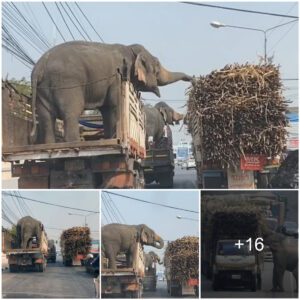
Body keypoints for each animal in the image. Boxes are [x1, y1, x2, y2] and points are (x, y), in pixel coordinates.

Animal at [31, 41, 192, 144]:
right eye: (157, 67)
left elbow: (107, 110)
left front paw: (110, 139)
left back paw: (49, 145)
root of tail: (38, 67)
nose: (192, 78)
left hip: (43, 89)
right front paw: (115, 139)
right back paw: (74, 144)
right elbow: (115, 106)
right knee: (71, 113)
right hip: (67, 83)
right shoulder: (118, 77)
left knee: (46, 117)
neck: (131, 50)